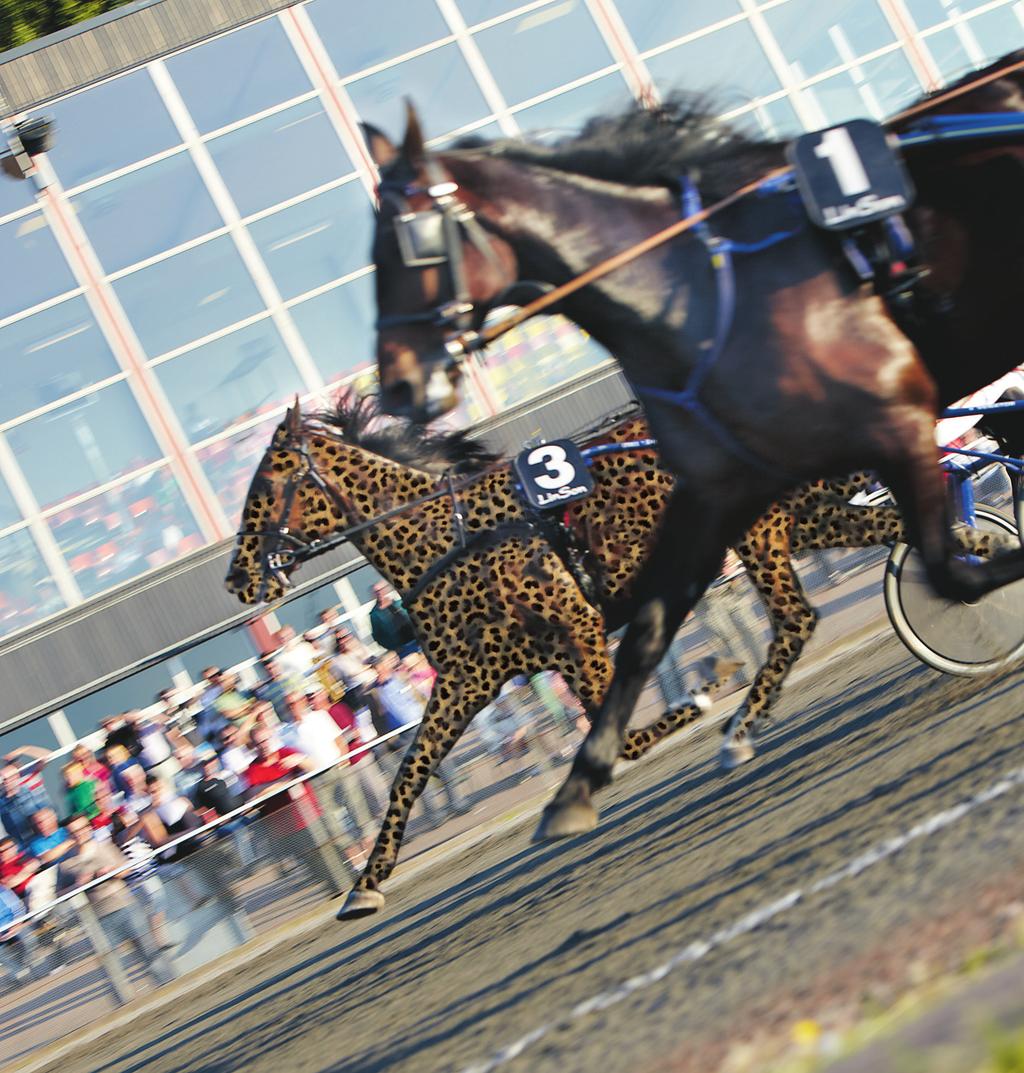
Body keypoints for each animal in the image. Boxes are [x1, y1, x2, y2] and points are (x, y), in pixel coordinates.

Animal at [367, 54, 1024, 841]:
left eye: (414, 239)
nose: (399, 382)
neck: (693, 291)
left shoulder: (894, 420)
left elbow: (953, 571)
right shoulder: (718, 488)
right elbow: (644, 636)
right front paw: (576, 787)